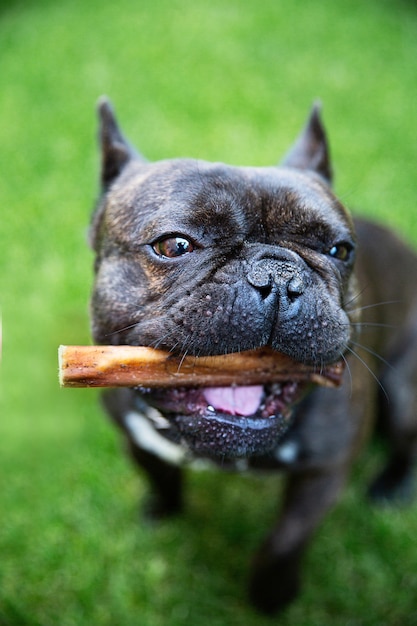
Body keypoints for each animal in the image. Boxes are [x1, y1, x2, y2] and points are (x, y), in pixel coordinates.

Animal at [88, 98, 416, 616]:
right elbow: (157, 474)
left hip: (406, 393)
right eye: (174, 244)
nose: (278, 274)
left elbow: (287, 540)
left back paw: (393, 486)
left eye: (340, 250)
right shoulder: (135, 437)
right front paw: (162, 510)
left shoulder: (325, 469)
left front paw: (271, 594)